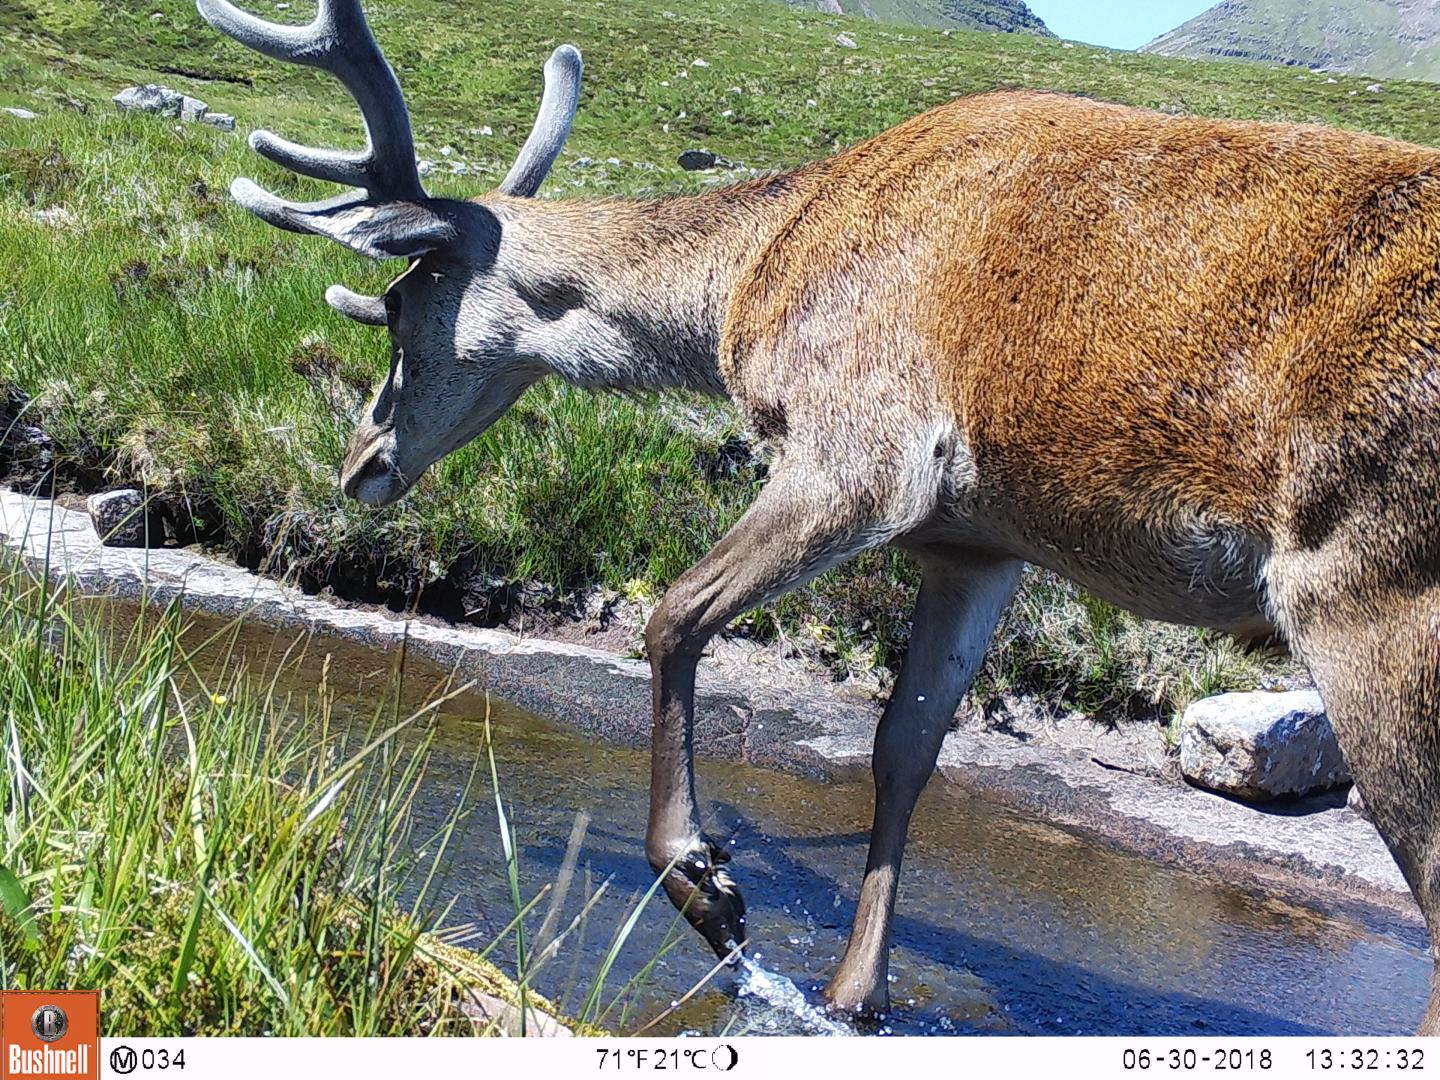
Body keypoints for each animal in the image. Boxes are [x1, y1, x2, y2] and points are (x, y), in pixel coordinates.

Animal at [197, 0, 1440, 1031]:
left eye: (401, 305)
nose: (359, 462)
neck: (750, 280)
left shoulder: (861, 450)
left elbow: (674, 616)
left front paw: (712, 892)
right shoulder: (976, 539)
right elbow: (904, 747)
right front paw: (853, 994)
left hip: (1371, 590)